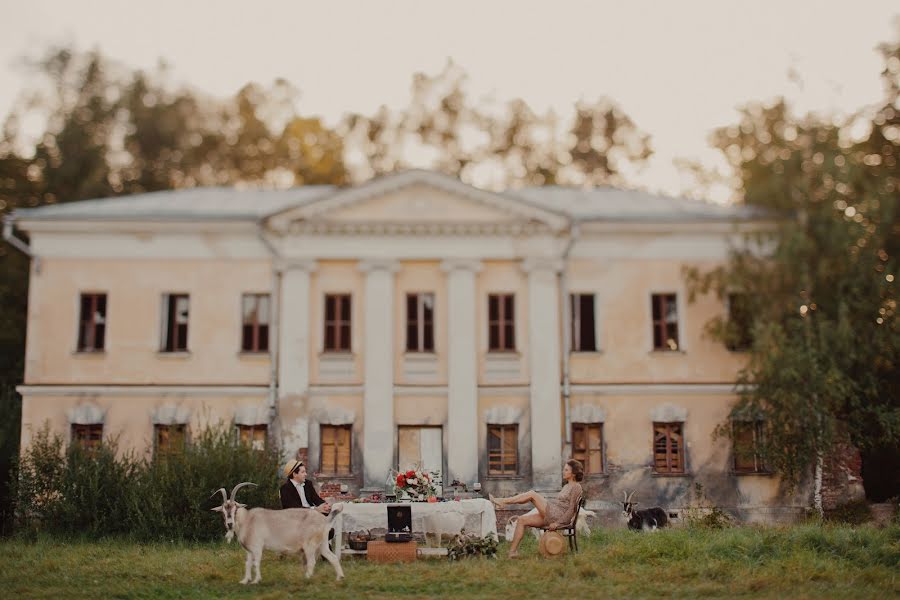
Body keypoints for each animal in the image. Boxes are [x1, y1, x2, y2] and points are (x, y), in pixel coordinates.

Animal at [211, 482, 344, 584]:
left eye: (235, 509)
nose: (229, 524)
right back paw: (339, 578)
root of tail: (325, 519)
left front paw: (256, 580)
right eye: (223, 511)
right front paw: (245, 581)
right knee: (332, 557)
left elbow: (256, 563)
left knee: (312, 561)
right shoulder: (249, 550)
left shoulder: (257, 547)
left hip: (309, 545)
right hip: (322, 544)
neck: (248, 520)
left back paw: (306, 578)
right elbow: (248, 563)